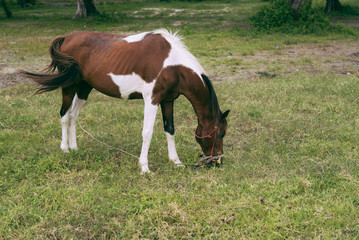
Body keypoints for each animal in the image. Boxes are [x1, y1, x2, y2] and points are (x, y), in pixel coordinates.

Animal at [21, 29, 231, 173]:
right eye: (221, 133)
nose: (218, 161)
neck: (172, 65)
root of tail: (66, 38)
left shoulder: (168, 100)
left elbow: (169, 129)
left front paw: (176, 161)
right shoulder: (152, 99)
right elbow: (147, 132)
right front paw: (144, 167)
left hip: (84, 89)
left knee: (73, 116)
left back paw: (74, 148)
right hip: (70, 87)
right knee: (64, 116)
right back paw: (65, 149)